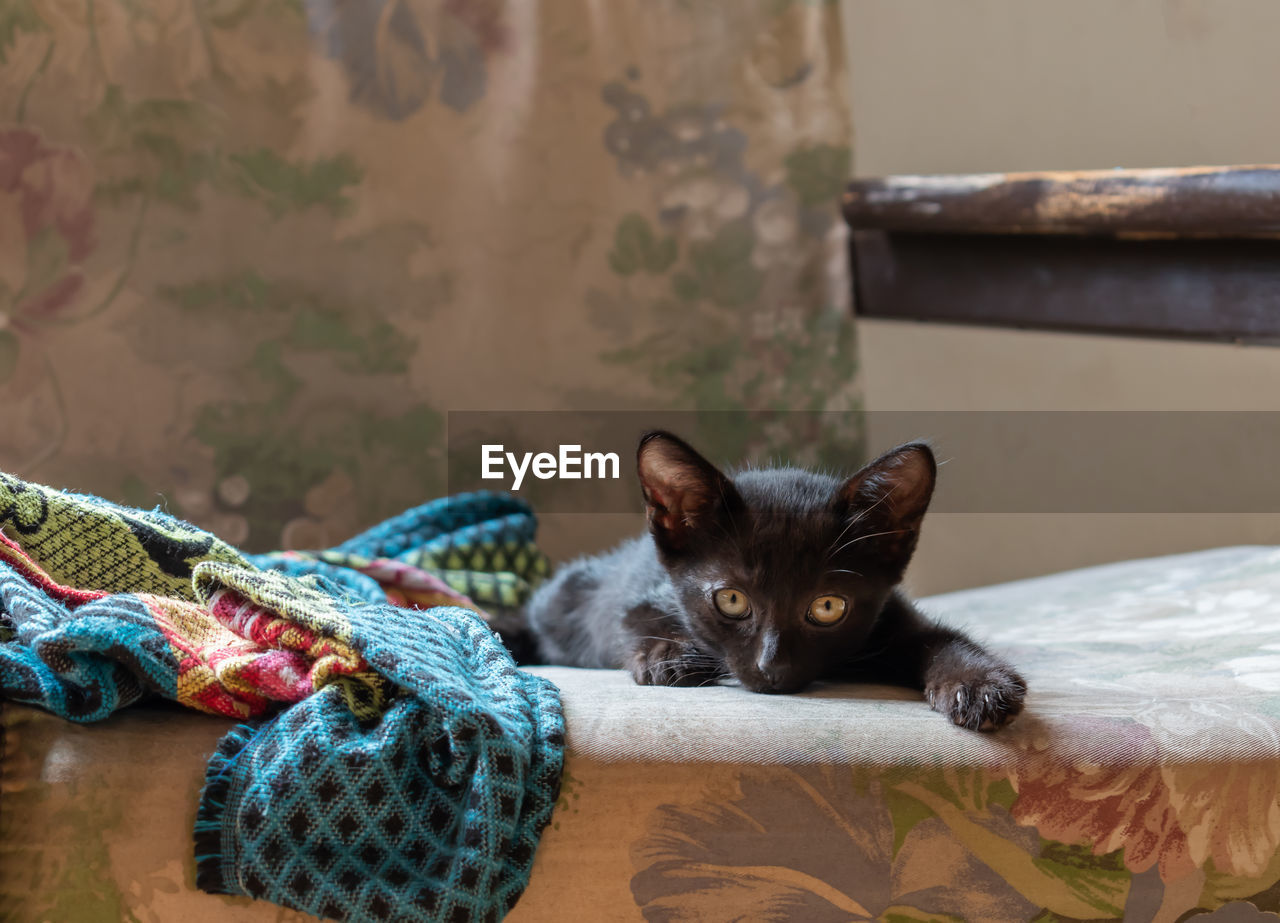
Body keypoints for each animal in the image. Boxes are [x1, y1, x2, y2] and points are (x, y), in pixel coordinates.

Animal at [519, 430, 1018, 727]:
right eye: (732, 601)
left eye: (828, 606)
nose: (771, 667)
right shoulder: (639, 596)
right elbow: (631, 618)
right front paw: (669, 654)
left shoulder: (890, 614)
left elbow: (936, 637)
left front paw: (978, 683)